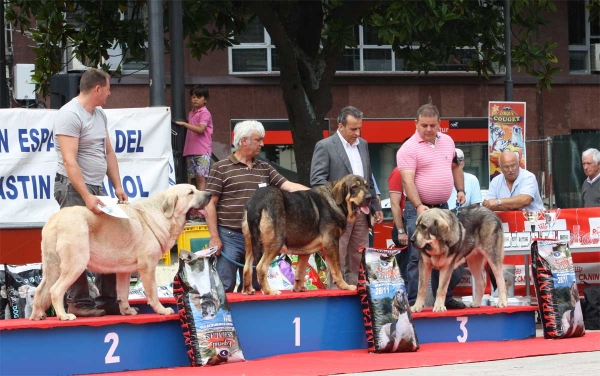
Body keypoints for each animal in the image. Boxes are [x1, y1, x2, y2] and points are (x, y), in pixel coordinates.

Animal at [31, 184, 213, 322]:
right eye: (191, 192)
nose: (209, 194)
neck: (163, 214)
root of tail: (55, 220)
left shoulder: (124, 271)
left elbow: (124, 293)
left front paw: (127, 311)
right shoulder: (148, 267)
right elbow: (152, 292)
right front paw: (162, 310)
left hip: (52, 267)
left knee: (41, 290)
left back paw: (37, 315)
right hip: (76, 263)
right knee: (55, 290)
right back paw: (64, 316)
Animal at [239, 175, 370, 296]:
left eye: (367, 186)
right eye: (354, 187)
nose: (369, 197)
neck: (335, 199)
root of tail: (256, 201)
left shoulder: (305, 251)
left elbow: (300, 271)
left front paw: (298, 289)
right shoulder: (332, 243)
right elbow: (337, 269)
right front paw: (345, 286)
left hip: (250, 243)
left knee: (247, 267)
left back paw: (248, 290)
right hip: (276, 242)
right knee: (261, 267)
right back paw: (269, 291)